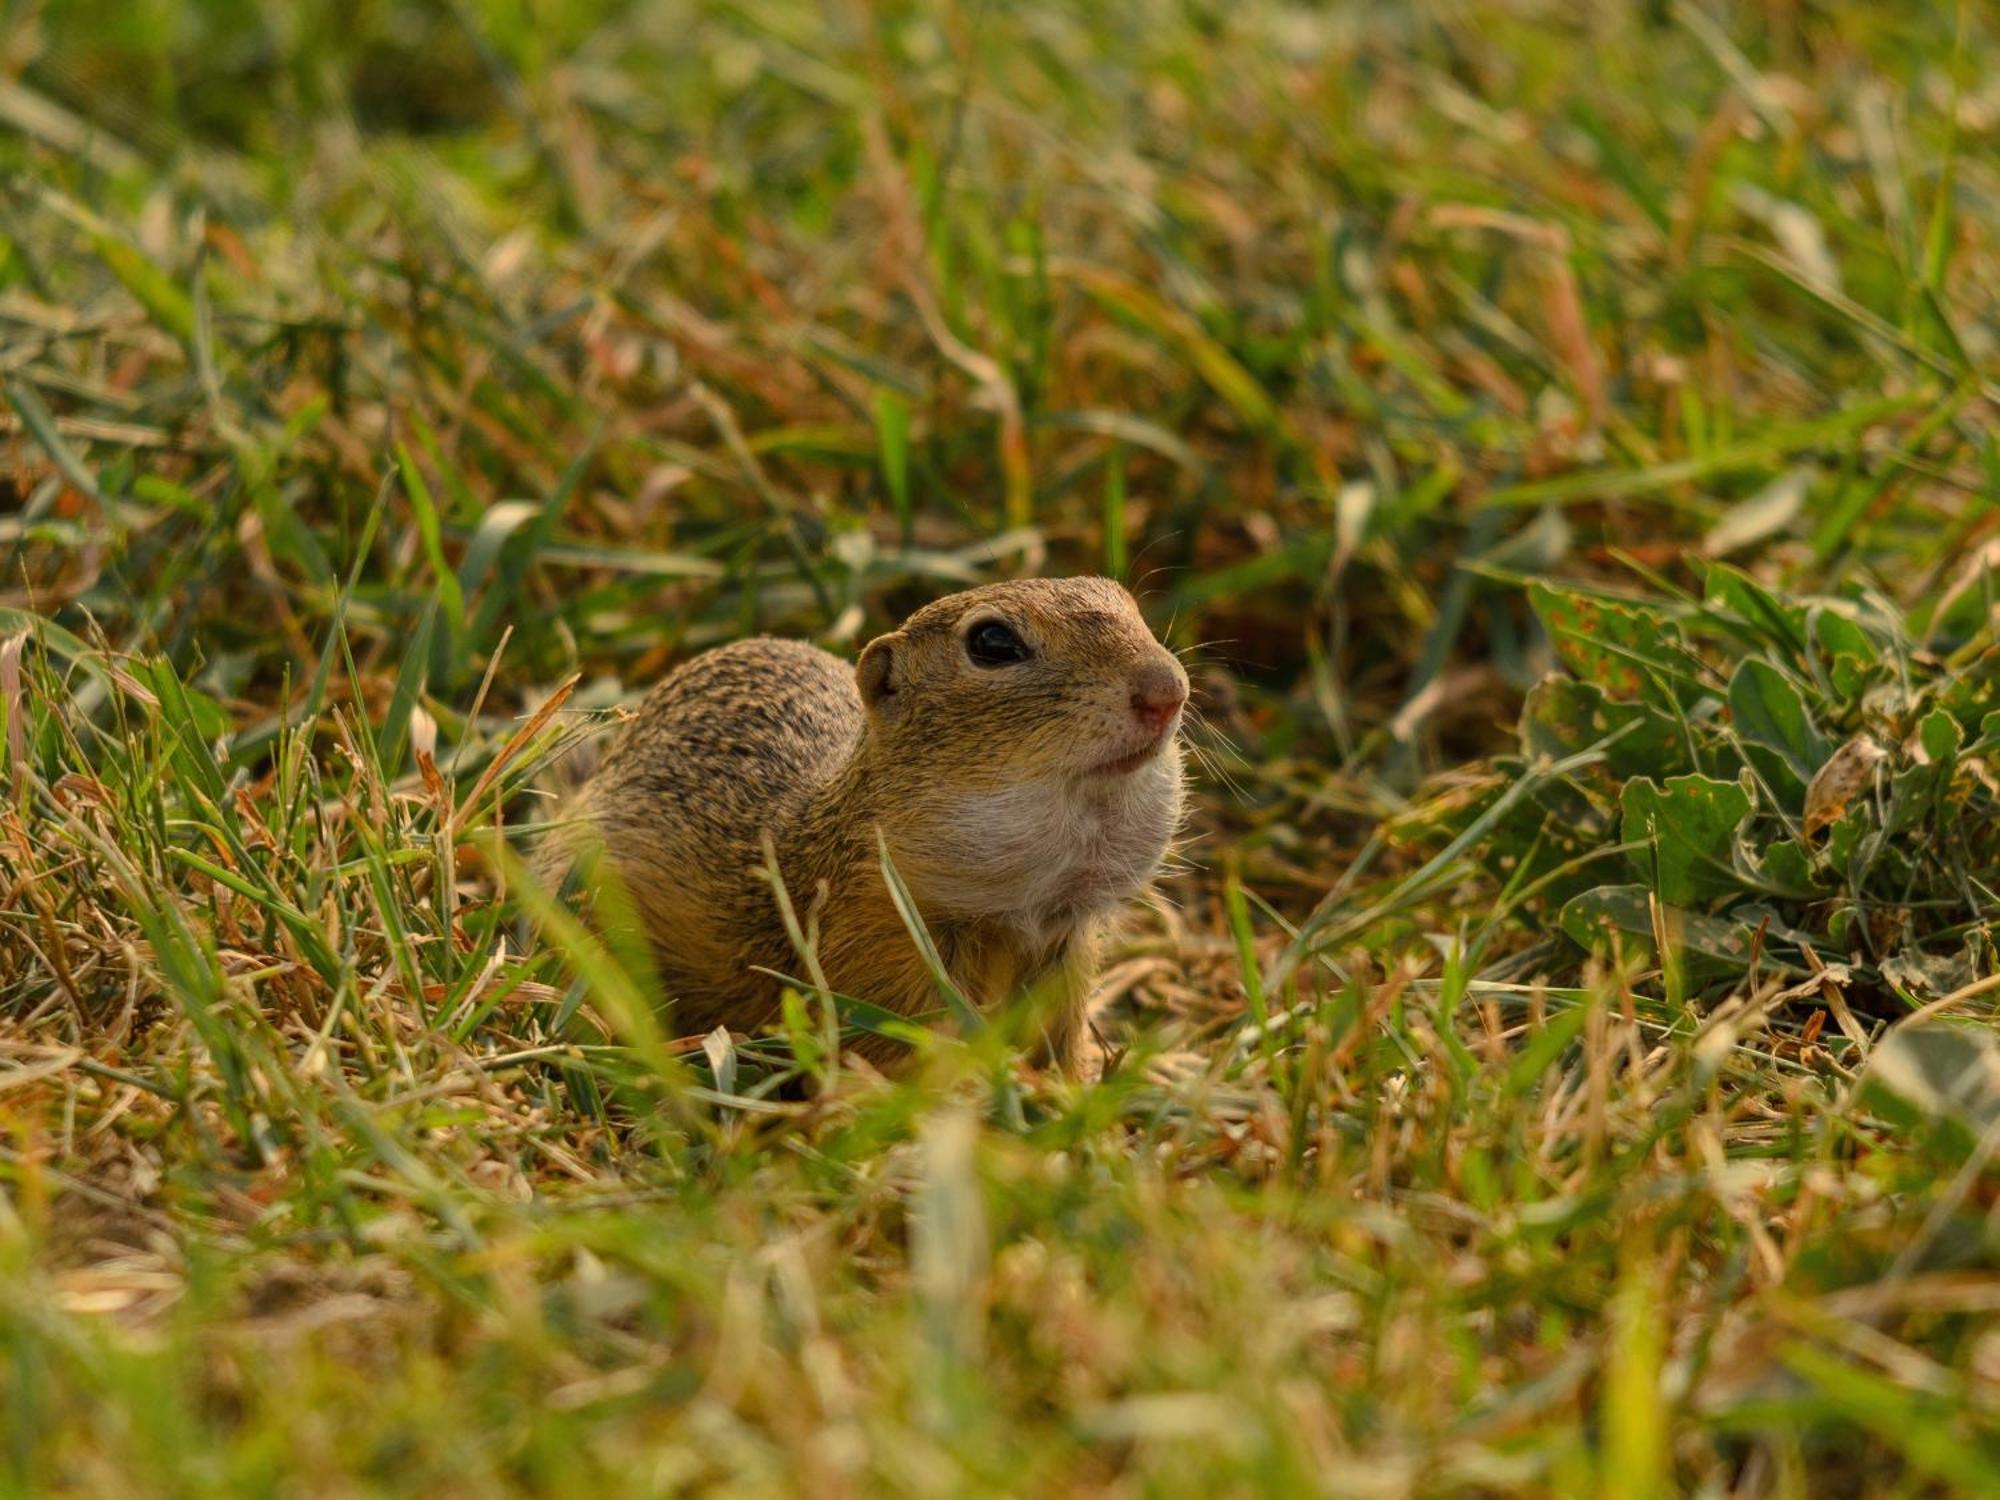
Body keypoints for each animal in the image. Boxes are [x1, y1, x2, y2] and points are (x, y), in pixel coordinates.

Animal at [536, 576, 1184, 1072]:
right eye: (993, 641)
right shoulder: (879, 943)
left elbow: (1055, 1037)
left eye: (1128, 602)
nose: (1167, 690)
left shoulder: (1065, 950)